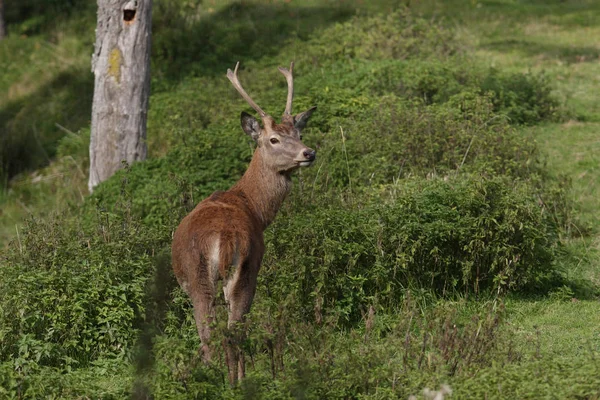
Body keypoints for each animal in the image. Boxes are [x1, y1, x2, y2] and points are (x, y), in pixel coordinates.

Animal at [171, 61, 316, 384]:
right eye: (274, 139)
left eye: (298, 135)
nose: (309, 152)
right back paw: (236, 382)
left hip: (206, 276)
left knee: (213, 335)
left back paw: (222, 381)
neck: (254, 209)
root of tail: (225, 237)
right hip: (244, 270)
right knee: (231, 331)